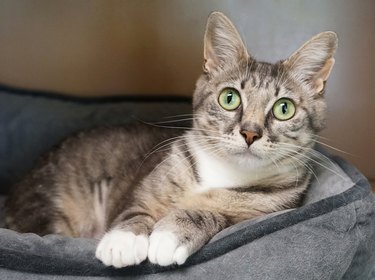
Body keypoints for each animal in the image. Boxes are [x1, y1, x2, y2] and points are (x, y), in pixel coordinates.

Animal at [3, 12, 338, 268]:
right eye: (229, 98)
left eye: (284, 108)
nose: (250, 133)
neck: (223, 173)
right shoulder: (143, 189)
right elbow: (133, 209)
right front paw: (123, 241)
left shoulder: (257, 214)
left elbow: (214, 214)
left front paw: (169, 235)